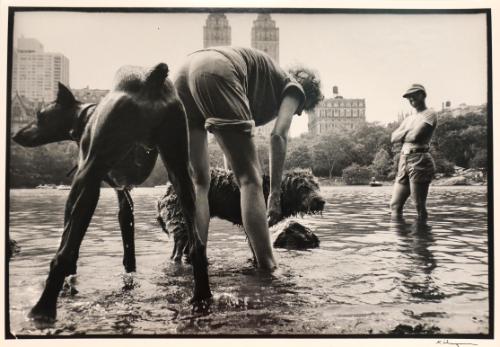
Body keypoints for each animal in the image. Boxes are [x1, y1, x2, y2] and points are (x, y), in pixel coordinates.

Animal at [11, 63, 211, 320]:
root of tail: (149, 80)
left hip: (89, 176)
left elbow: (69, 241)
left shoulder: (85, 184)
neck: (84, 118)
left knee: (62, 256)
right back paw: (201, 298)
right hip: (181, 173)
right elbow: (128, 245)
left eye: (39, 115)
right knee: (197, 248)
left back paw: (42, 309)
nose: (16, 135)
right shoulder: (124, 197)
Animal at [158, 168, 326, 260]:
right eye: (304, 187)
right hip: (181, 223)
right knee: (177, 252)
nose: (321, 201)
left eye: (316, 185)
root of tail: (165, 193)